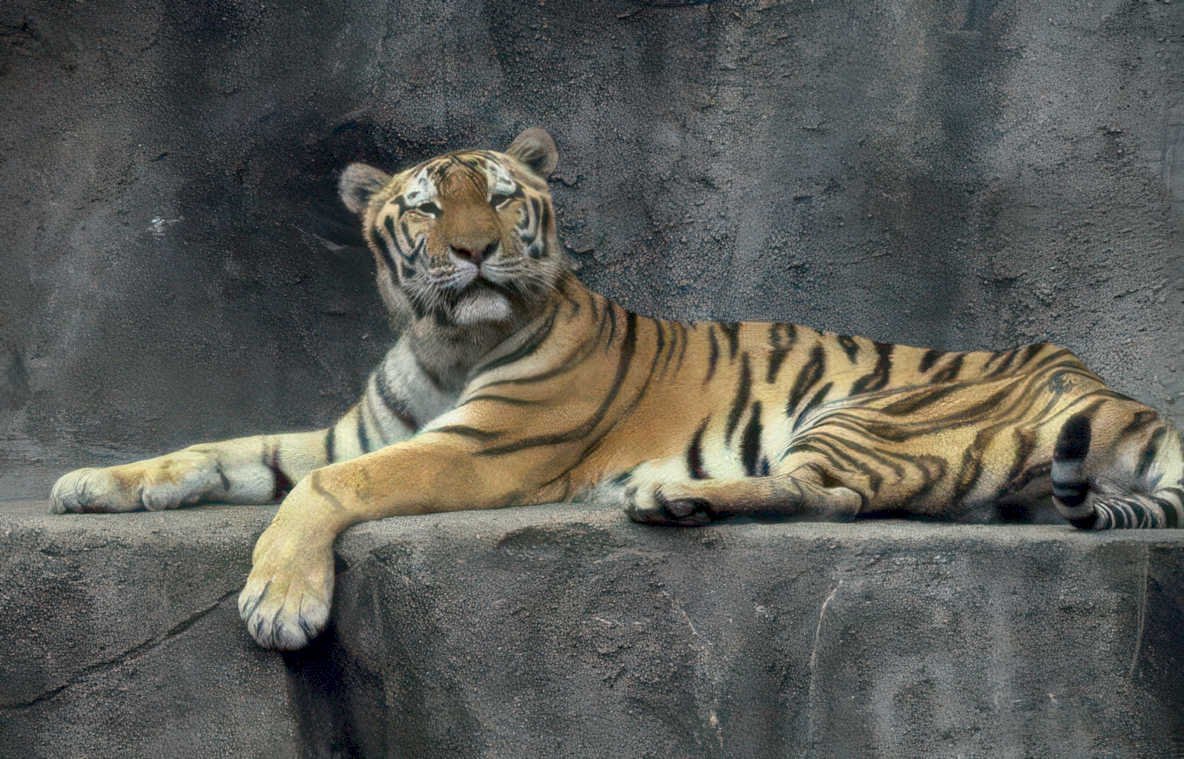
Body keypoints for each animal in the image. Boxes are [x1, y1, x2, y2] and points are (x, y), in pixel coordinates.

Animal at [50, 128, 1184, 651]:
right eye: (427, 207)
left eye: (500, 197)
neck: (446, 344)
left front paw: (280, 601)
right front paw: (89, 486)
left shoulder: (476, 449)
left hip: (866, 413)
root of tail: (1118, 390)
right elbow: (219, 451)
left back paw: (666, 496)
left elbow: (322, 493)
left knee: (823, 492)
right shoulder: (352, 431)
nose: (473, 251)